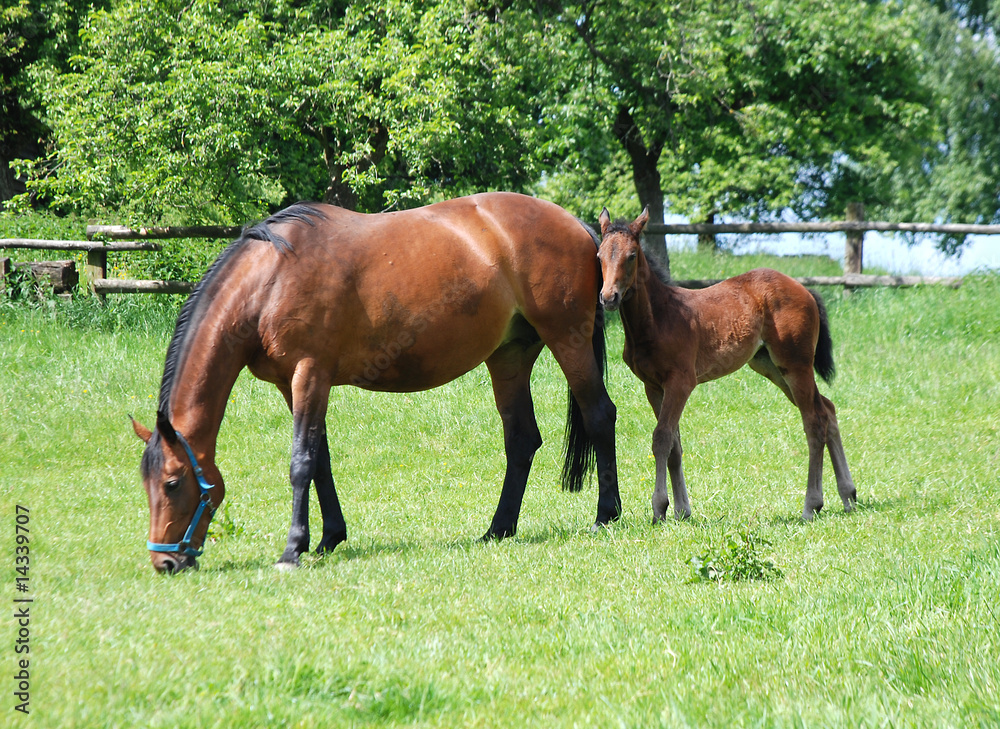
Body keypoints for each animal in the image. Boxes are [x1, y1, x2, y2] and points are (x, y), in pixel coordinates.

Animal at [130, 195, 620, 576]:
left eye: (172, 483)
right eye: (147, 483)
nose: (165, 562)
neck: (271, 277)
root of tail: (576, 225)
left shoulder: (310, 374)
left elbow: (301, 462)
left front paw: (292, 550)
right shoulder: (294, 385)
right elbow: (320, 459)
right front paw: (327, 538)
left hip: (567, 339)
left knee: (600, 415)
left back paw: (605, 515)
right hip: (509, 357)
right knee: (521, 440)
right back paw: (498, 529)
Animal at [596, 208, 856, 520]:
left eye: (632, 255)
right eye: (599, 255)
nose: (608, 297)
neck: (658, 318)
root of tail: (805, 290)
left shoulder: (681, 382)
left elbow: (661, 438)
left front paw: (660, 508)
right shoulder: (653, 386)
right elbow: (674, 444)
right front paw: (682, 510)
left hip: (796, 365)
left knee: (814, 420)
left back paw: (811, 505)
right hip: (771, 367)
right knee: (827, 409)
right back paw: (848, 495)